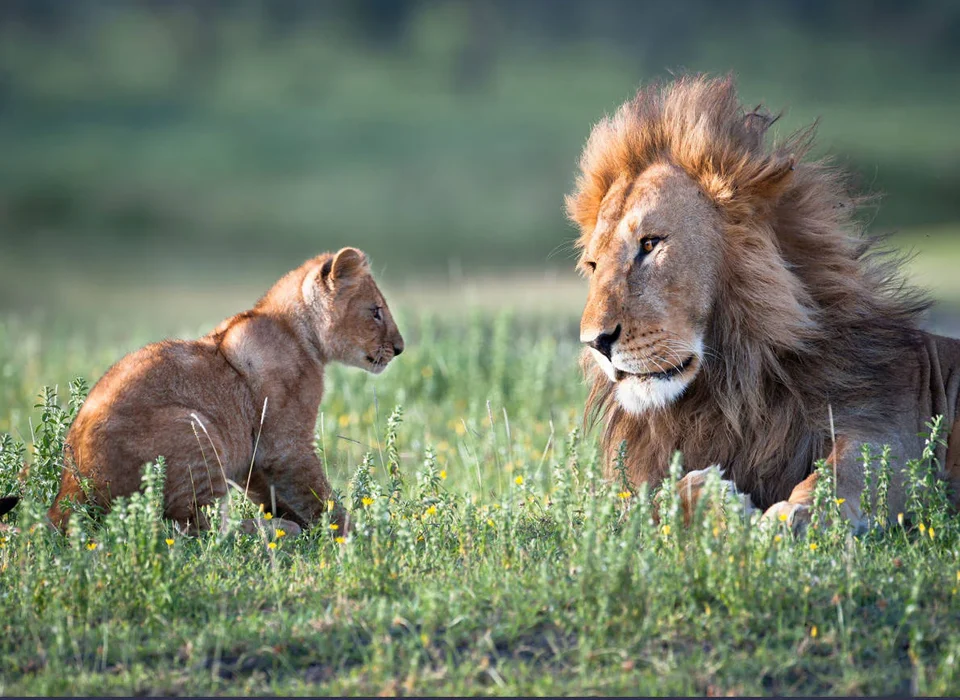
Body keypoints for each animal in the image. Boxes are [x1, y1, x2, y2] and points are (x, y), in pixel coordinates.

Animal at [38, 247, 404, 535]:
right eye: (376, 311)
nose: (400, 348)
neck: (299, 333)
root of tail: (71, 490)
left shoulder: (256, 458)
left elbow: (276, 495)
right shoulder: (286, 445)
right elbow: (319, 496)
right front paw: (366, 533)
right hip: (195, 429)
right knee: (196, 529)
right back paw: (275, 530)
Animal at [566, 74, 960, 532]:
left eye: (650, 244)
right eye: (593, 264)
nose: (595, 343)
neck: (733, 389)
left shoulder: (887, 433)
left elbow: (841, 475)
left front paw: (795, 516)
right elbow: (656, 501)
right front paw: (715, 498)